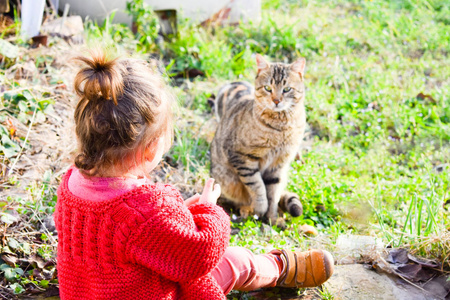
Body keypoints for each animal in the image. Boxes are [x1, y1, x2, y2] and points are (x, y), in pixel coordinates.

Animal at [211, 54, 306, 223]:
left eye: (287, 89)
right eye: (268, 88)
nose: (276, 100)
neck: (281, 127)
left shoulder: (278, 165)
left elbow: (273, 193)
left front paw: (272, 217)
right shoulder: (242, 158)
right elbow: (257, 185)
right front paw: (261, 208)